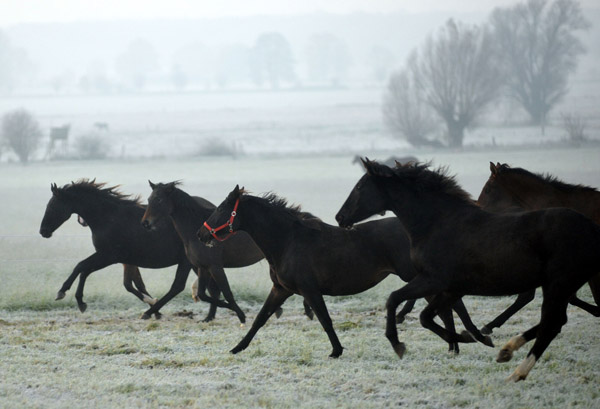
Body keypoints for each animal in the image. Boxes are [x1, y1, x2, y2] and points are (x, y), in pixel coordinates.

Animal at [38, 178, 220, 318]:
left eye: (52, 206)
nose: (43, 231)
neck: (108, 217)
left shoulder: (108, 256)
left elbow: (81, 267)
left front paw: (65, 293)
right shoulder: (121, 259)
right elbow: (128, 283)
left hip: (187, 261)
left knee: (180, 286)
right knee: (211, 287)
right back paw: (209, 315)